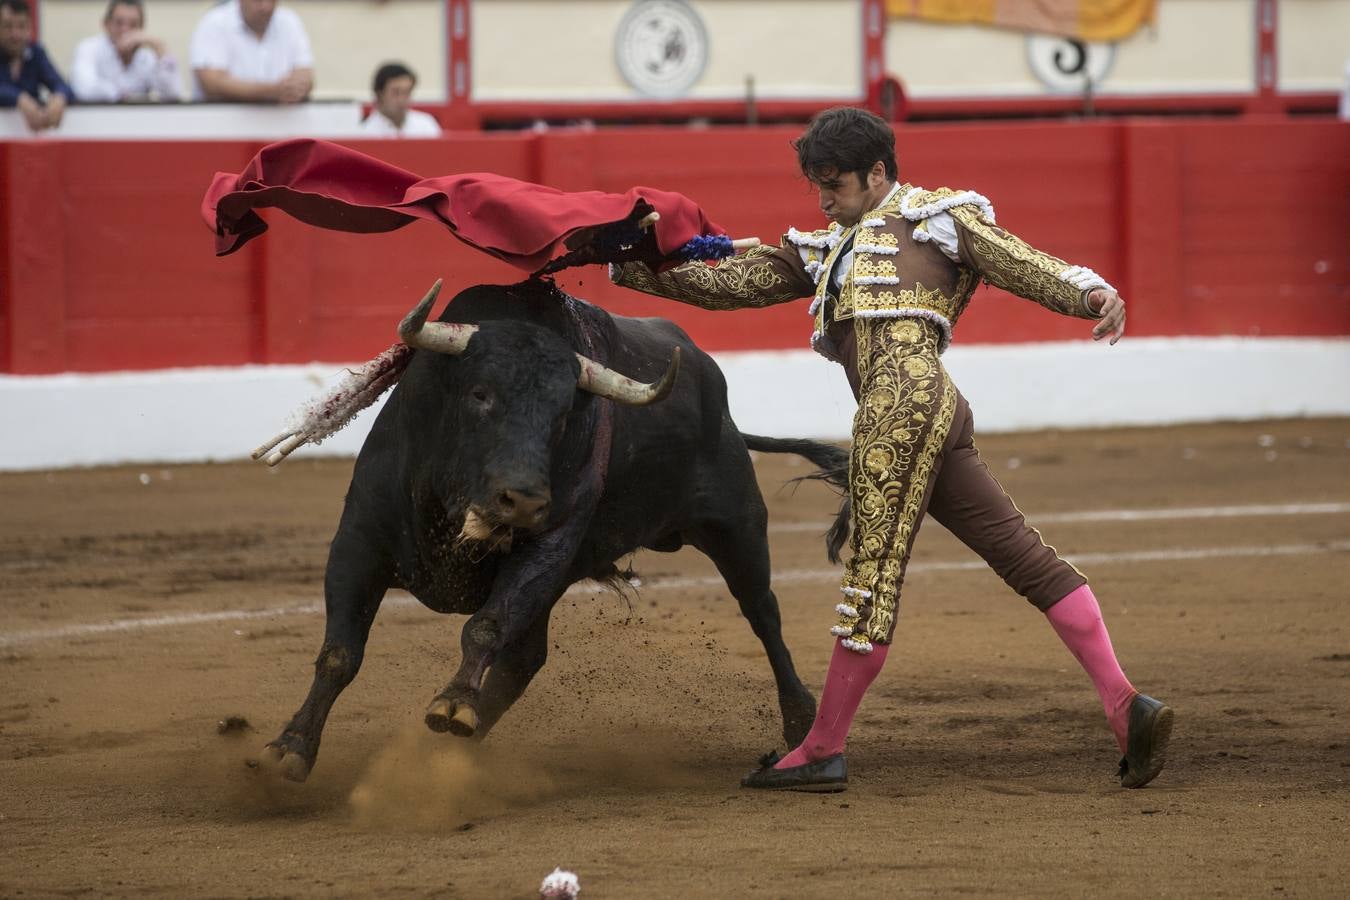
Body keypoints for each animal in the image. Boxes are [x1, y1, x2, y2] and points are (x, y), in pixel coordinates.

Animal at [260, 279, 842, 782]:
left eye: (563, 413)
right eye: (479, 394)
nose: (524, 500)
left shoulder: (548, 544)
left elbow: (485, 626)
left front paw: (453, 703)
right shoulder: (358, 541)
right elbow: (340, 654)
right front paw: (290, 748)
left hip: (736, 526)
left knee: (763, 614)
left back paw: (800, 724)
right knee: (524, 660)